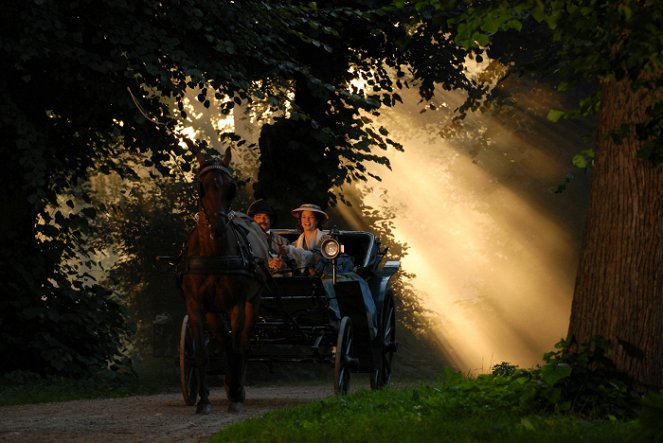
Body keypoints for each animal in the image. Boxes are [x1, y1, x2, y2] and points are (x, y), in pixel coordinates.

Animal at [179, 149, 270, 416]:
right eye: (202, 186)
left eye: (230, 187)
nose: (217, 226)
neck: (214, 254)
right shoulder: (196, 306)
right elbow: (202, 353)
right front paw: (204, 402)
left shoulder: (236, 305)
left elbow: (238, 348)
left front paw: (237, 398)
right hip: (213, 311)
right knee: (225, 344)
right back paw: (231, 384)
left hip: (253, 302)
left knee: (242, 344)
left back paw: (237, 388)